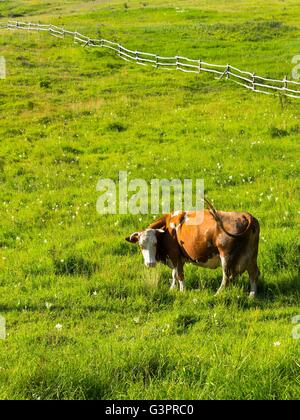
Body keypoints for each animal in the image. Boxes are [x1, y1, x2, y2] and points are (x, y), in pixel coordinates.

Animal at [125, 201, 262, 296]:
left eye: (155, 243)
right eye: (141, 245)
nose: (150, 263)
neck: (168, 229)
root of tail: (245, 215)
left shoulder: (174, 255)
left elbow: (179, 274)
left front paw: (182, 292)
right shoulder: (176, 258)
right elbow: (174, 274)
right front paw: (172, 289)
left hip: (226, 257)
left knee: (227, 277)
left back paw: (217, 294)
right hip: (251, 256)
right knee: (254, 274)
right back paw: (252, 296)